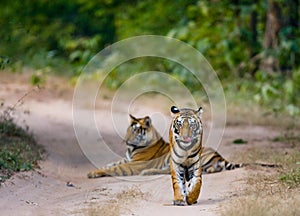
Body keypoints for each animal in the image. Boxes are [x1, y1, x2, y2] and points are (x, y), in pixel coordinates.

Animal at [88, 114, 278, 178]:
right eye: (129, 129)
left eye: (136, 131)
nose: (126, 140)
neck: (132, 149)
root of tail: (219, 155)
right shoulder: (126, 159)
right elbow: (111, 164)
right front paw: (94, 170)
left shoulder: (134, 164)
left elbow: (113, 168)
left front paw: (93, 174)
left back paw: (146, 172)